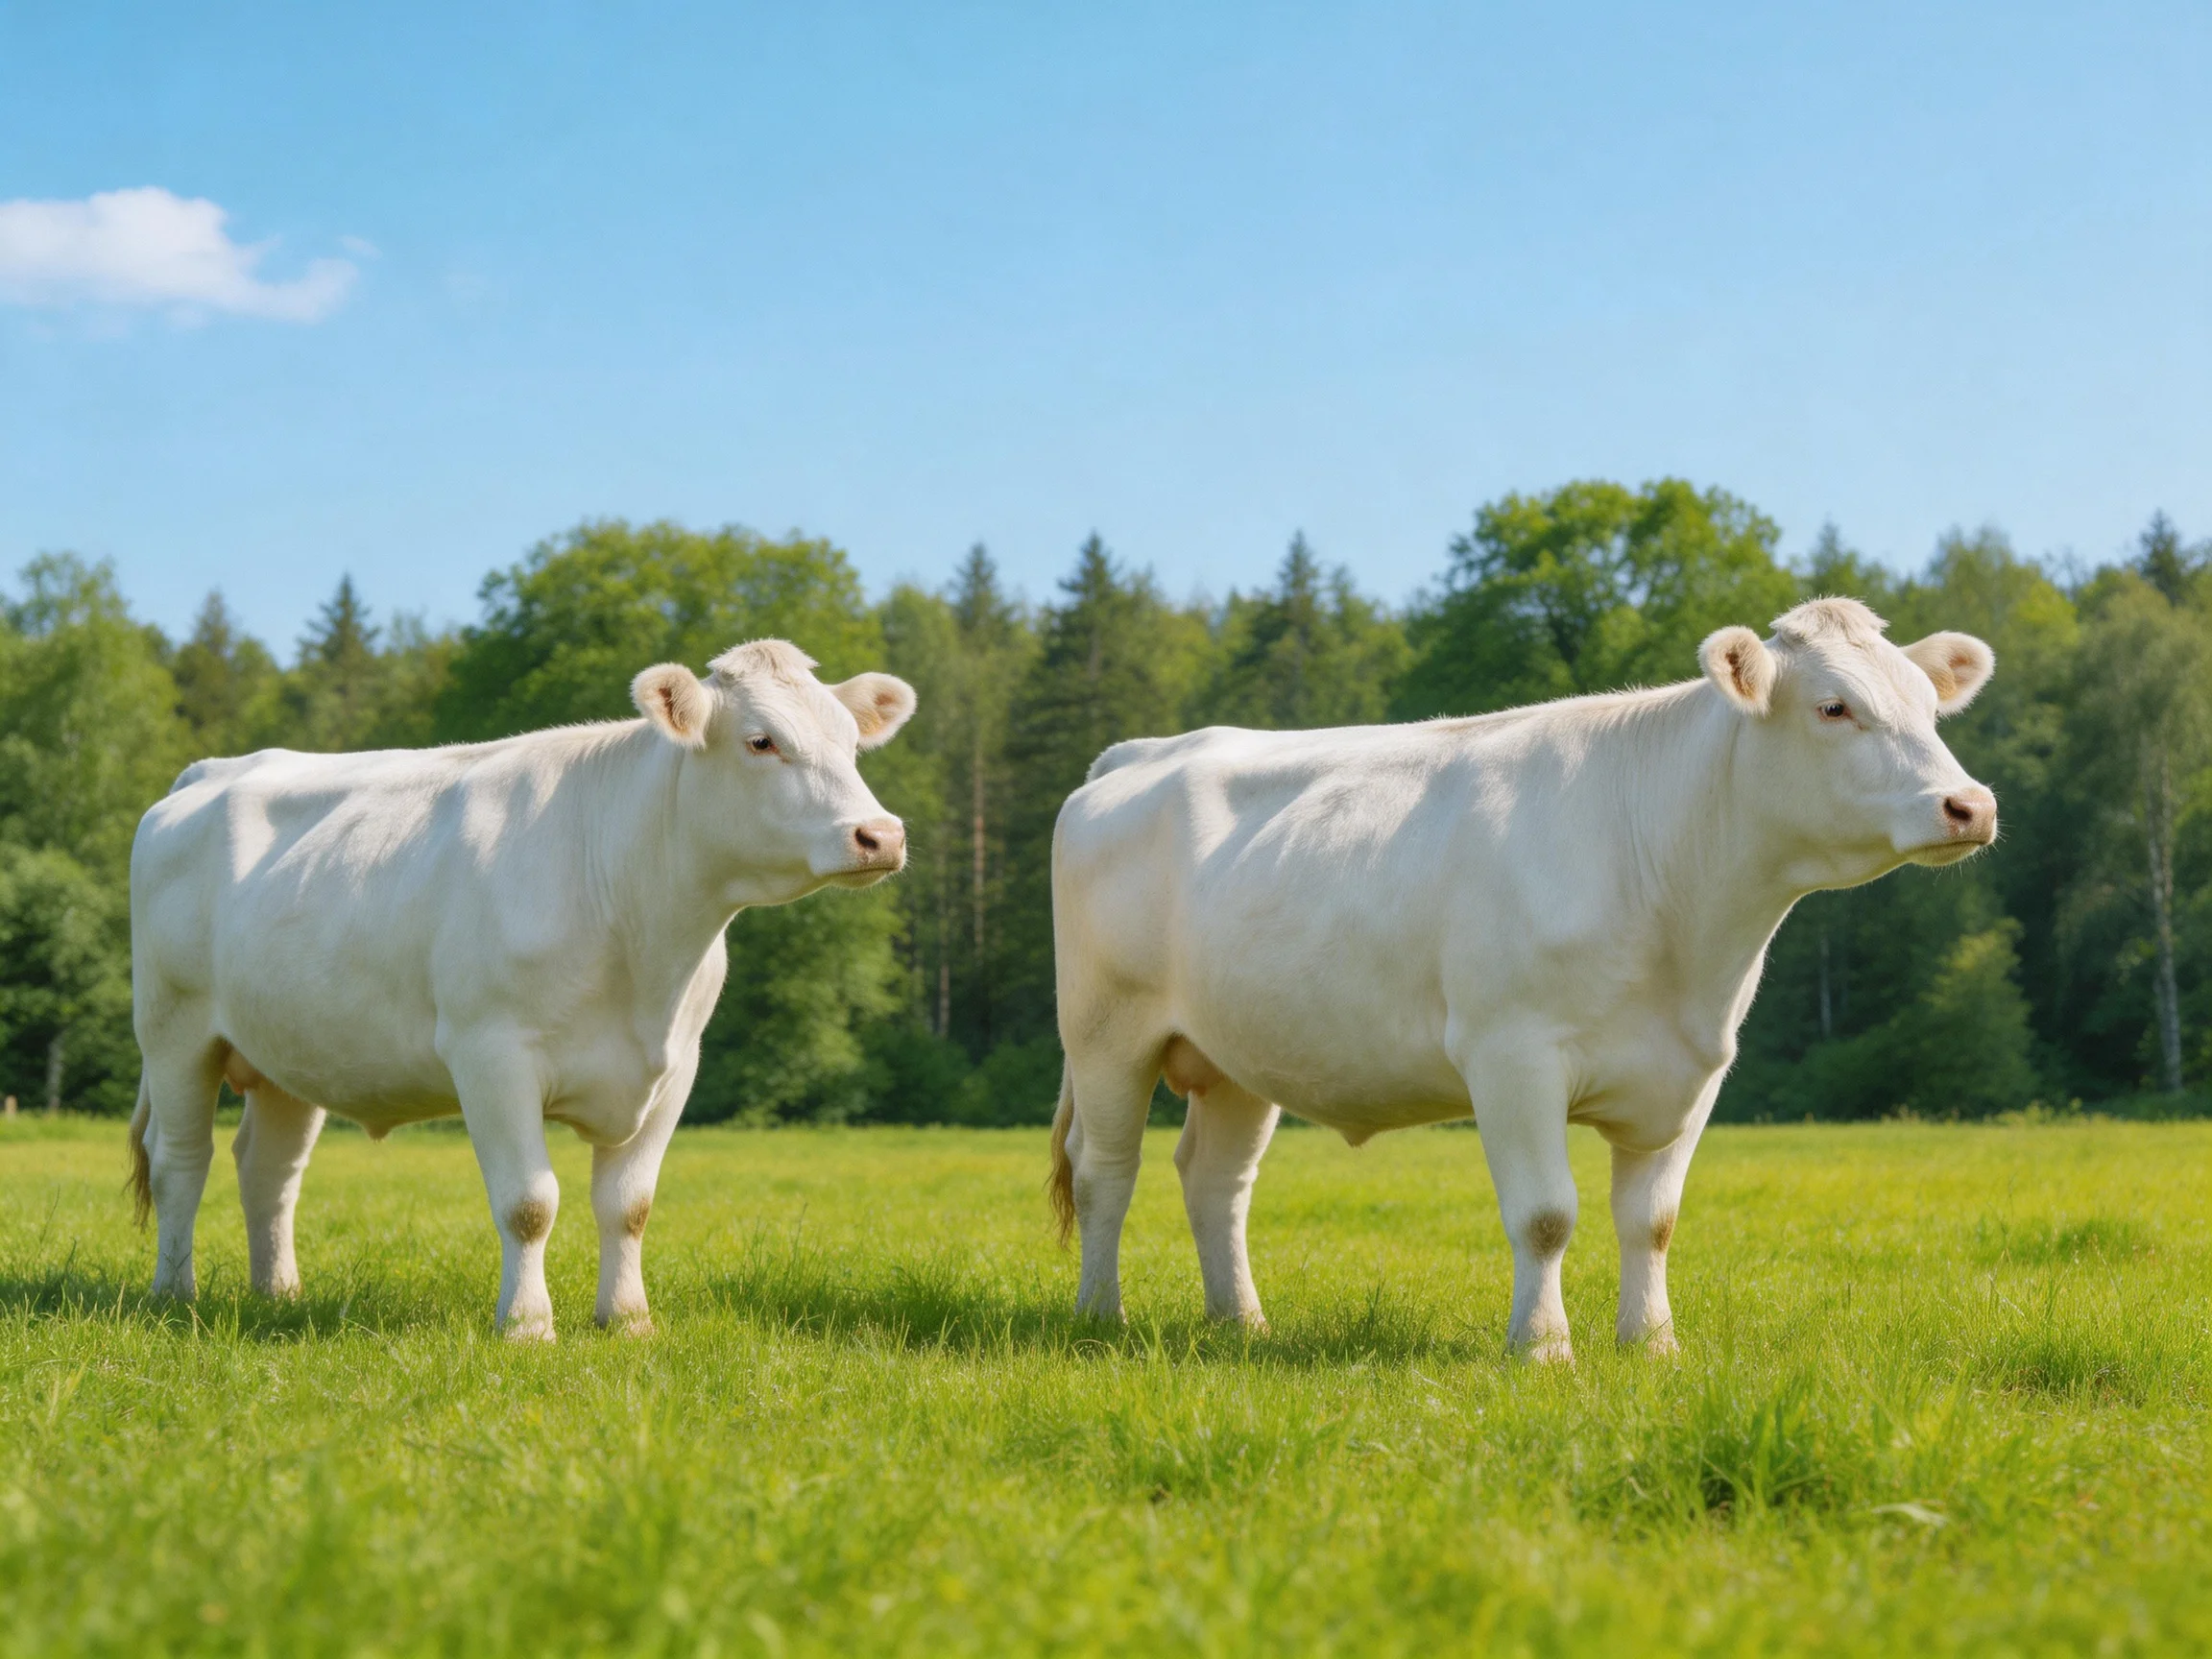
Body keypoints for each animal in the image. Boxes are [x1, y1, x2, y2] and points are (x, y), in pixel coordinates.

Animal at [127, 639, 914, 1339]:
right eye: (761, 741)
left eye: (851, 743)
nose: (880, 834)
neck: (643, 942)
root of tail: (211, 770)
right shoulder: (491, 1054)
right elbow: (529, 1203)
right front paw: (528, 1325)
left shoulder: (675, 1065)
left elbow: (629, 1205)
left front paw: (628, 1320)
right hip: (173, 1030)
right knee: (180, 1162)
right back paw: (174, 1296)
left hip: (290, 1050)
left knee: (269, 1172)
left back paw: (278, 1296)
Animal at [1045, 598, 1997, 1361]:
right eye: (1835, 706)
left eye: (1929, 708)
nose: (1971, 805)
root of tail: (1141, 753)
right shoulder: (1511, 1057)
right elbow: (1546, 1215)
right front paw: (1542, 1348)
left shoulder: (1692, 1072)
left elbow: (1652, 1222)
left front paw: (1652, 1346)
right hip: (1105, 1032)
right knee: (1105, 1172)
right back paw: (1100, 1318)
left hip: (1236, 1053)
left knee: (1215, 1181)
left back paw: (1241, 1323)